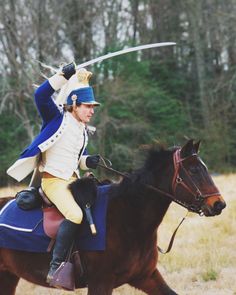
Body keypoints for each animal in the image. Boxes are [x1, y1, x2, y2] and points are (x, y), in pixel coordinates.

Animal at [0, 141, 226, 295]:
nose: (219, 204)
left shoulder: (146, 277)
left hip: (8, 276)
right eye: (194, 170)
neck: (129, 219)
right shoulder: (101, 282)